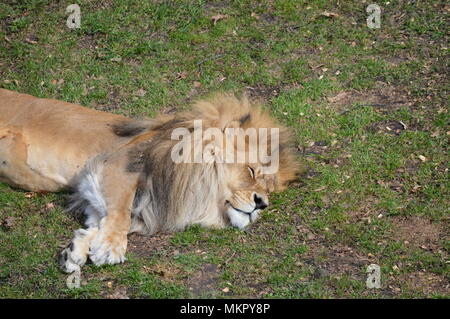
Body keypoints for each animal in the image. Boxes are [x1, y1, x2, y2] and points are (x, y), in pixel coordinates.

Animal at [0, 89, 298, 274]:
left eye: (269, 188)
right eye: (251, 172)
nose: (262, 204)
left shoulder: (97, 190)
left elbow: (101, 221)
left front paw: (77, 250)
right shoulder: (115, 164)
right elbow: (120, 212)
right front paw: (110, 249)